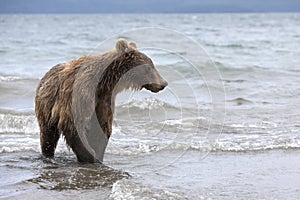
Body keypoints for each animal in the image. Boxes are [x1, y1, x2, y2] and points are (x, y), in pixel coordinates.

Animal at [35, 39, 168, 162]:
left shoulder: (105, 98)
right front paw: (89, 156)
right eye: (149, 67)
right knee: (48, 135)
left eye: (152, 65)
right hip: (46, 107)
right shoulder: (80, 95)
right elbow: (73, 124)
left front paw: (97, 154)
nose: (163, 83)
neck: (104, 81)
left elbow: (102, 127)